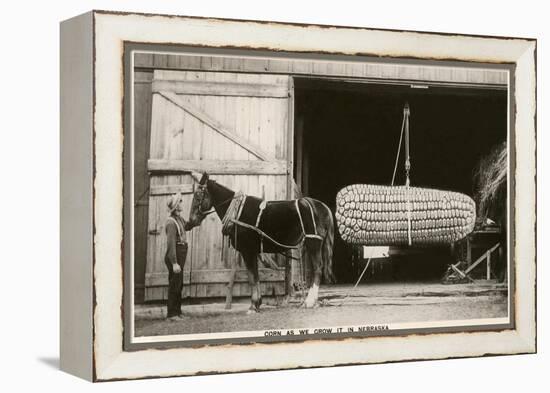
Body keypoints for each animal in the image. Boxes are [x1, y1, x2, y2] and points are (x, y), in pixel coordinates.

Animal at [189, 173, 336, 310]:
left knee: (318, 268)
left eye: (197, 196)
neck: (238, 212)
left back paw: (309, 302)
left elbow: (252, 277)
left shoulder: (247, 250)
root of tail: (323, 206)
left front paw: (253, 305)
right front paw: (257, 303)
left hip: (313, 243)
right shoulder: (252, 251)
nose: (189, 222)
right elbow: (255, 276)